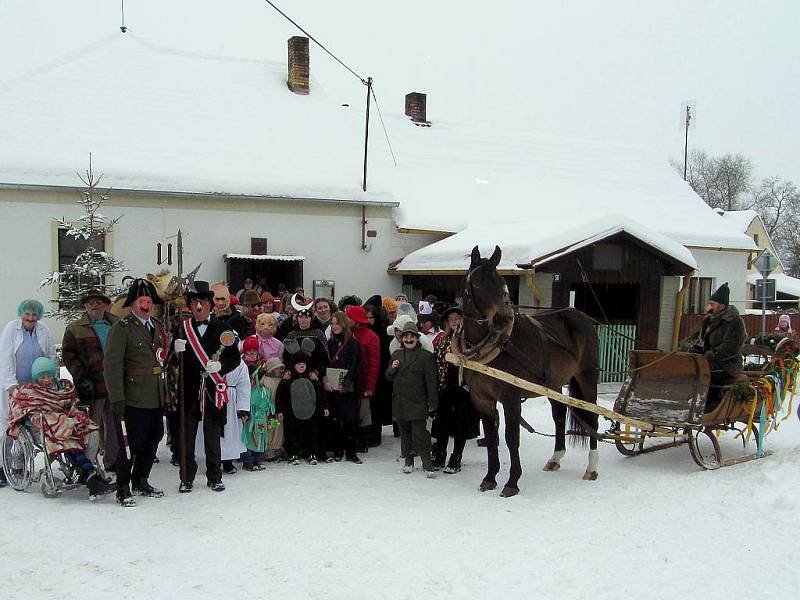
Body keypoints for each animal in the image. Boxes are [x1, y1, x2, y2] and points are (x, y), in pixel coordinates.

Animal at [456, 245, 600, 496]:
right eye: (478, 284)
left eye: (502, 283)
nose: (501, 319)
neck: (494, 346)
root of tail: (581, 316)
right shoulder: (481, 398)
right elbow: (491, 437)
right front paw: (490, 477)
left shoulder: (511, 397)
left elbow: (511, 438)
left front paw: (512, 482)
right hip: (553, 383)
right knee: (559, 415)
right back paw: (556, 458)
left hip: (587, 377)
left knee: (591, 419)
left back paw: (591, 467)